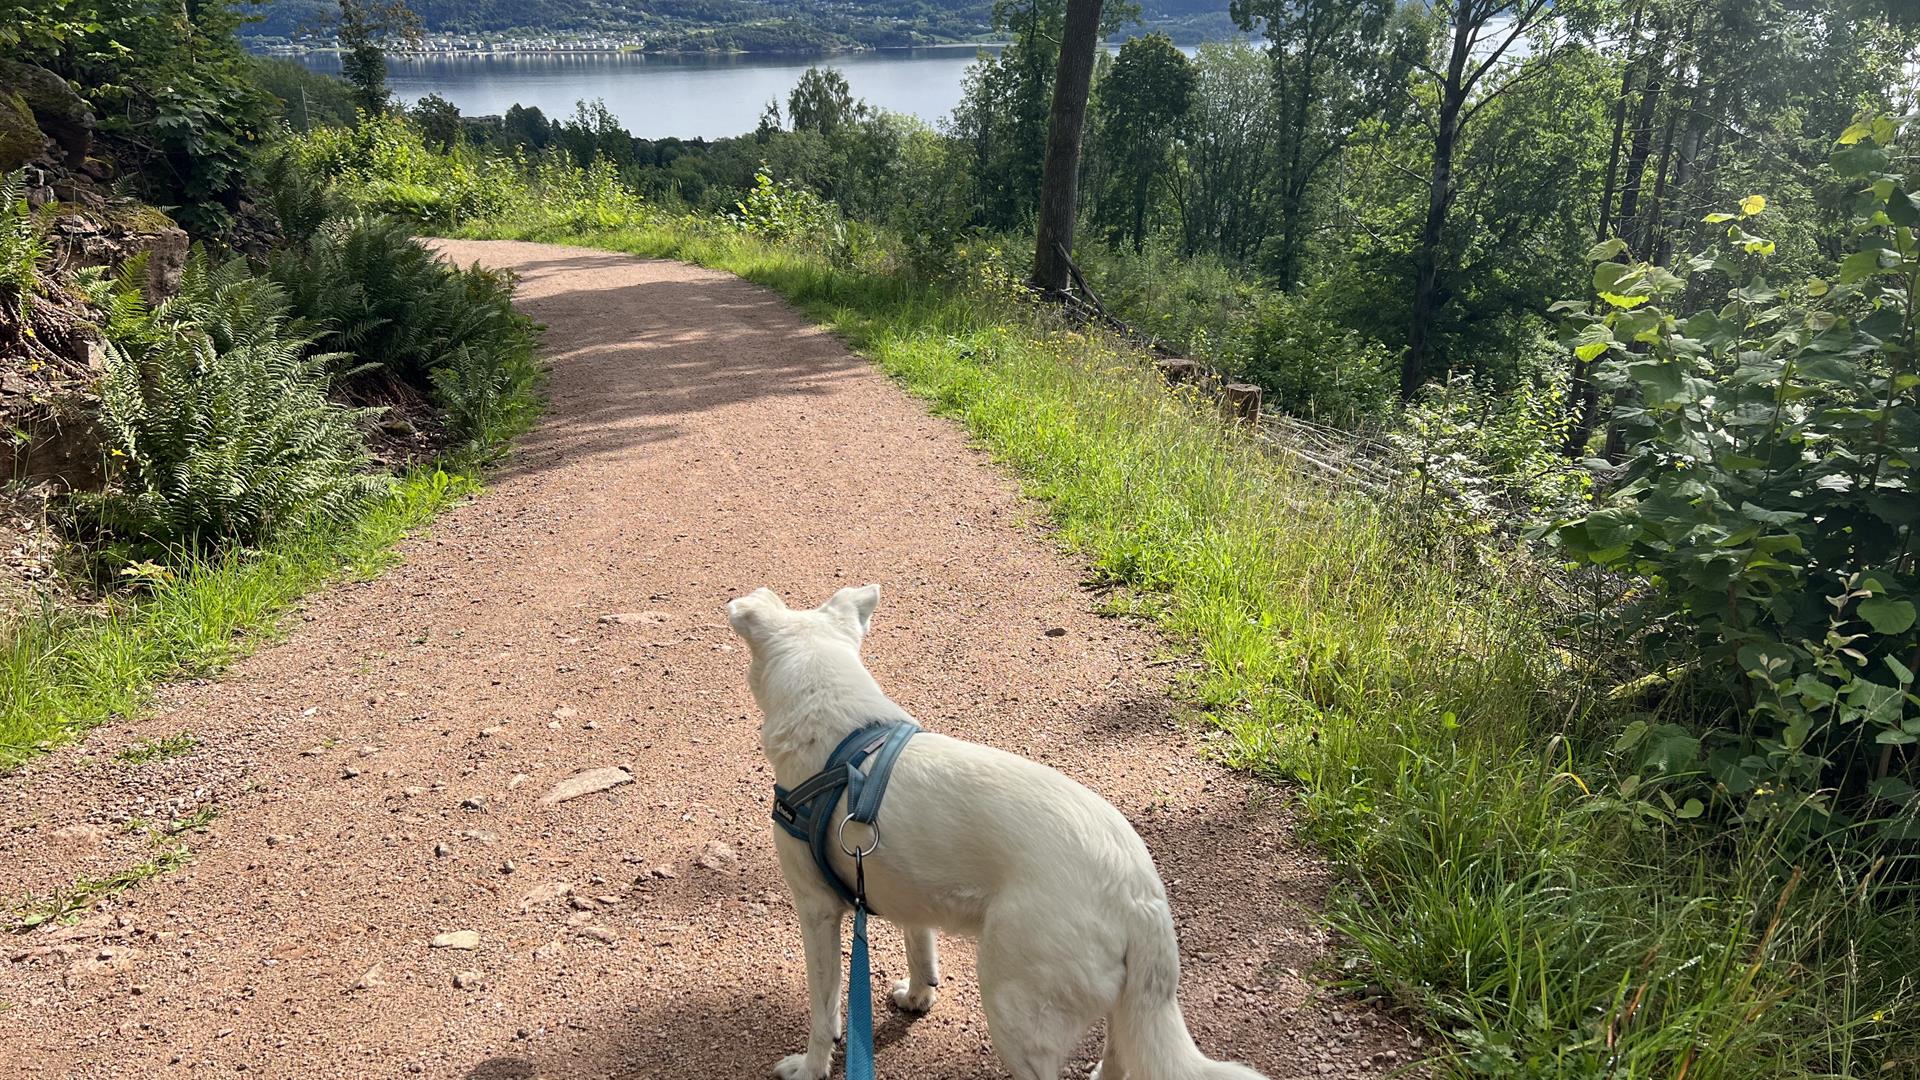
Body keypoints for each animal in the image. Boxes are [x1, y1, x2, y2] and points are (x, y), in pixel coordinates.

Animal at [725, 580, 1267, 1076]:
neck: (845, 735)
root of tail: (1140, 897)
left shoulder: (817, 910)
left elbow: (824, 1012)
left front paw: (809, 1067)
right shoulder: (902, 886)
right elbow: (920, 950)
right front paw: (918, 997)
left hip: (1014, 1009)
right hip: (1124, 1012)